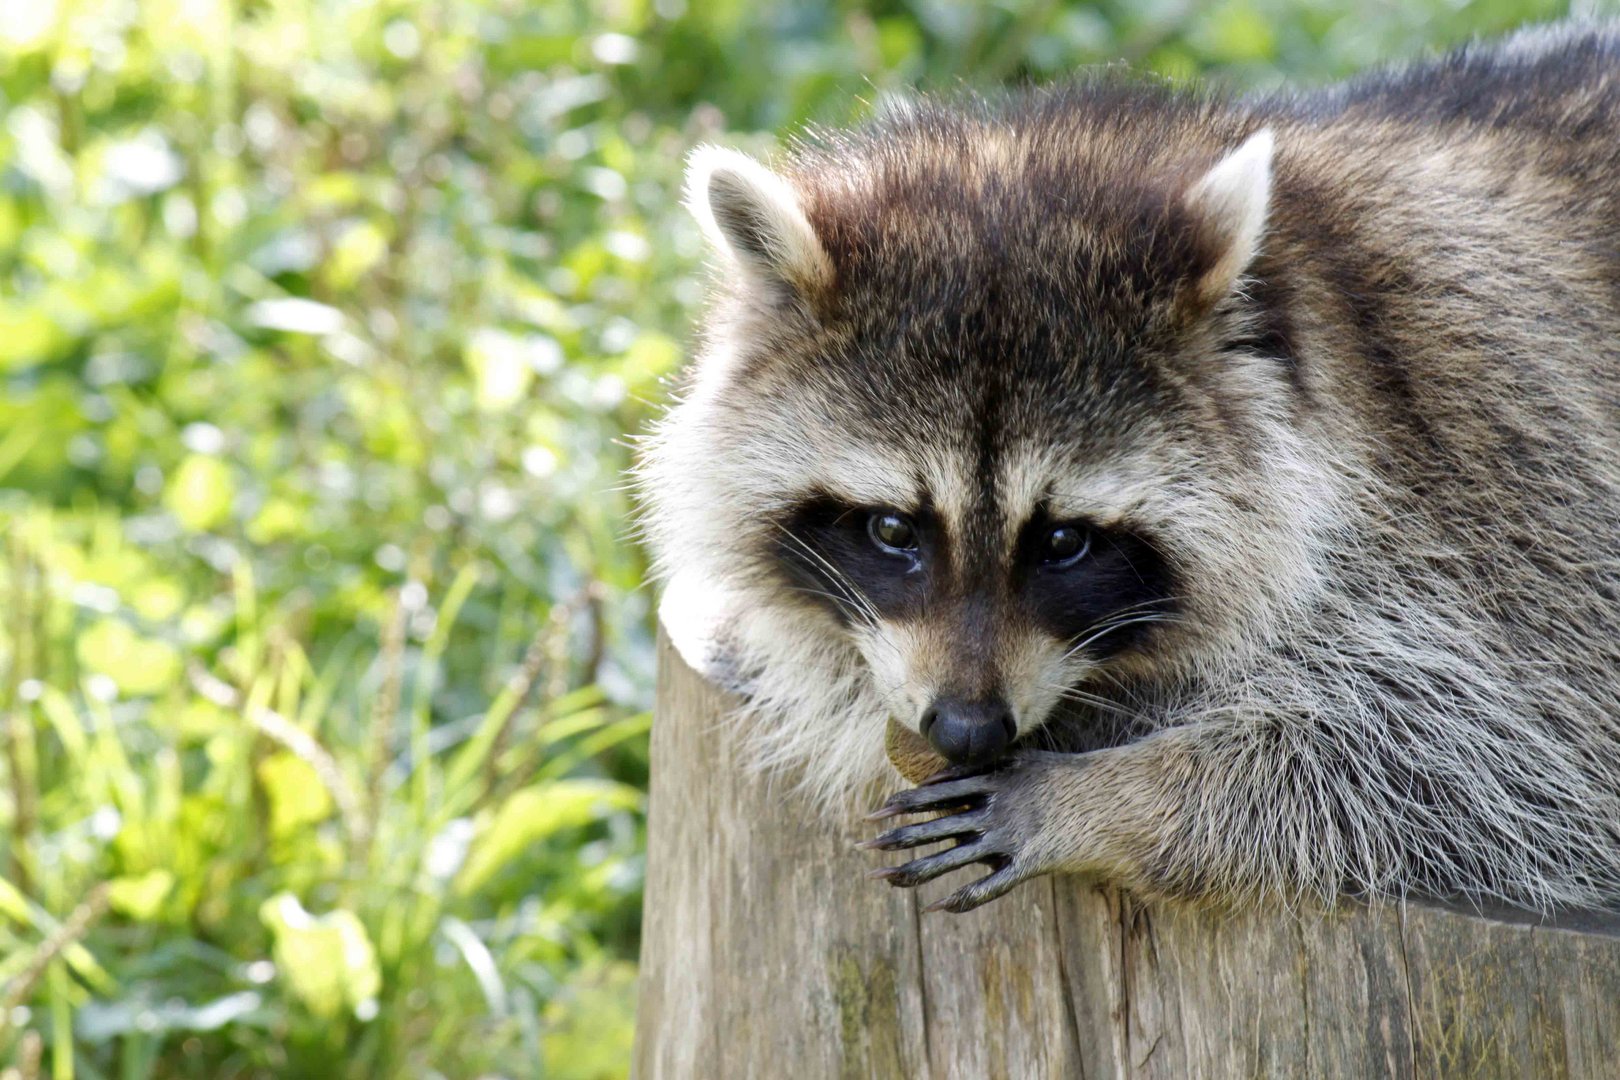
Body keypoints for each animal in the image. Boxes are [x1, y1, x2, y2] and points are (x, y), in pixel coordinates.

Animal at [635, 25, 1620, 919]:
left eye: (1066, 541)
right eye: (890, 529)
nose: (968, 729)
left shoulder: (1506, 520)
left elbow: (1481, 767)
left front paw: (1110, 799)